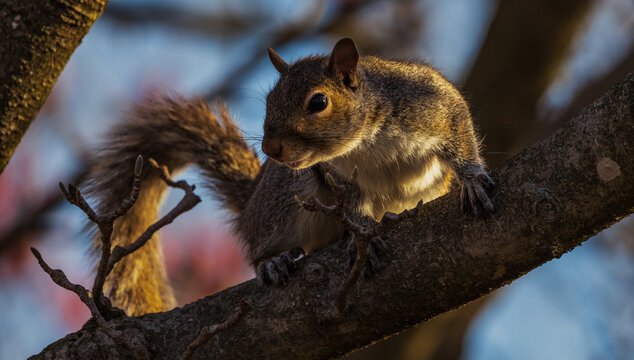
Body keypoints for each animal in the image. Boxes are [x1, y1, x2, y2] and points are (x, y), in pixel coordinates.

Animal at [81, 38, 492, 316]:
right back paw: (272, 261)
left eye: (318, 102)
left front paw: (472, 181)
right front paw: (363, 237)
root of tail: (251, 202)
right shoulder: (339, 180)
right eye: (268, 101)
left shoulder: (435, 105)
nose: (270, 148)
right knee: (259, 243)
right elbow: (355, 207)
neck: (366, 141)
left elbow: (461, 138)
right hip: (287, 197)